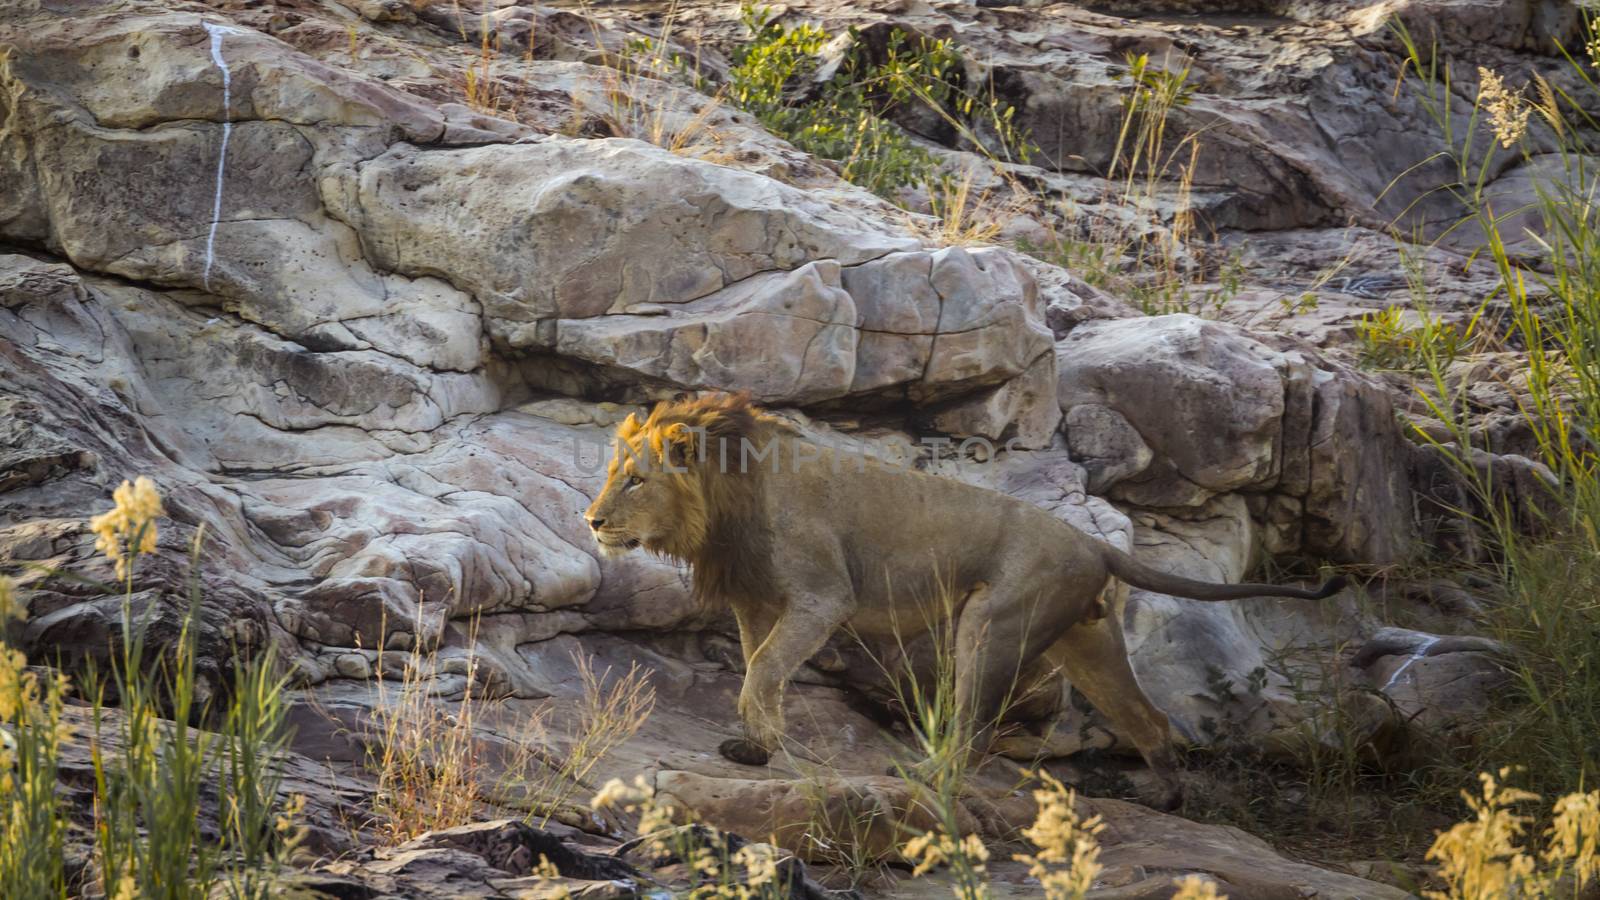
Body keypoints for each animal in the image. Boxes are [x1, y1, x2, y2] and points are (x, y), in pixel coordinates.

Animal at [582, 392, 1344, 807]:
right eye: (615, 473)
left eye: (637, 481)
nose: (591, 522)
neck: (726, 495)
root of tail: (1095, 545)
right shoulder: (756, 601)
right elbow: (756, 668)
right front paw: (756, 746)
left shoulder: (822, 597)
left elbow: (764, 669)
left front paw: (756, 743)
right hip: (1087, 642)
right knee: (1150, 721)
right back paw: (1166, 795)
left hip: (989, 622)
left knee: (976, 731)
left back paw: (926, 774)